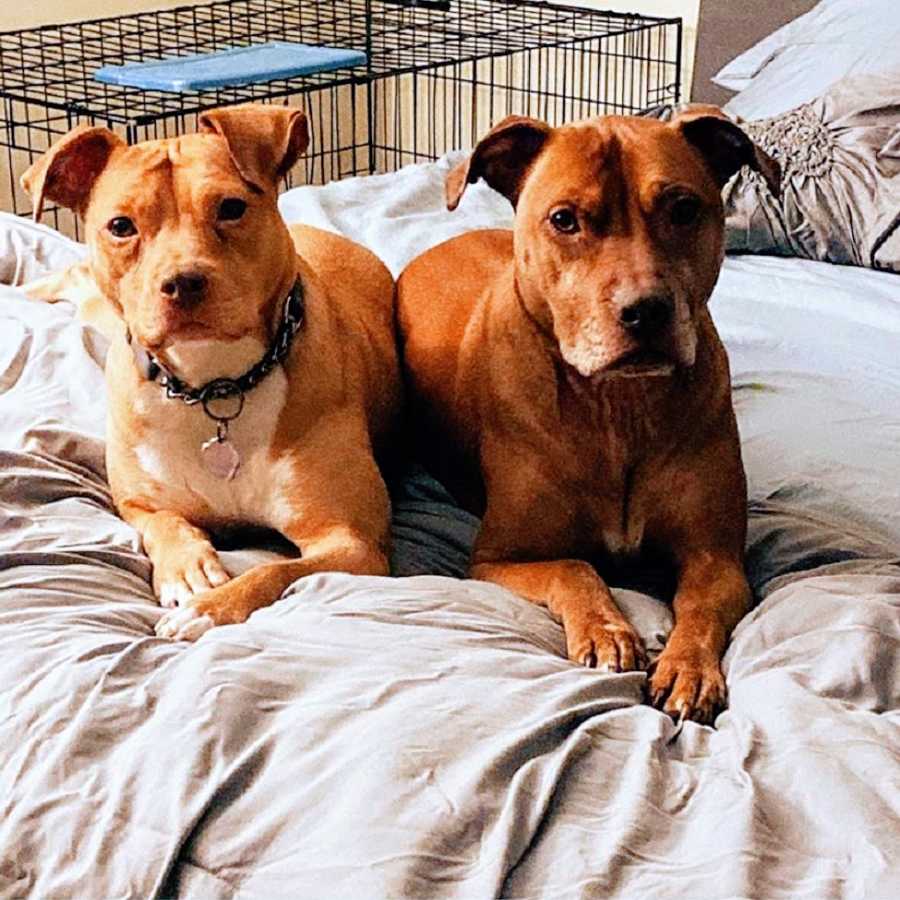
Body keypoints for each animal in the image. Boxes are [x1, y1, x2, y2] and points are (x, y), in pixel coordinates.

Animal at [22, 103, 400, 640]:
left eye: (231, 207)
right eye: (121, 226)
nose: (182, 282)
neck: (214, 385)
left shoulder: (353, 543)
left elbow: (275, 571)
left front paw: (210, 607)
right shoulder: (137, 503)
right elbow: (167, 524)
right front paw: (188, 571)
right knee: (78, 279)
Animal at [398, 109, 776, 724]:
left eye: (684, 208)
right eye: (564, 220)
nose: (646, 311)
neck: (618, 408)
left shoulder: (717, 558)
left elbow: (698, 605)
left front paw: (689, 668)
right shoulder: (498, 559)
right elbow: (574, 568)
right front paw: (606, 630)